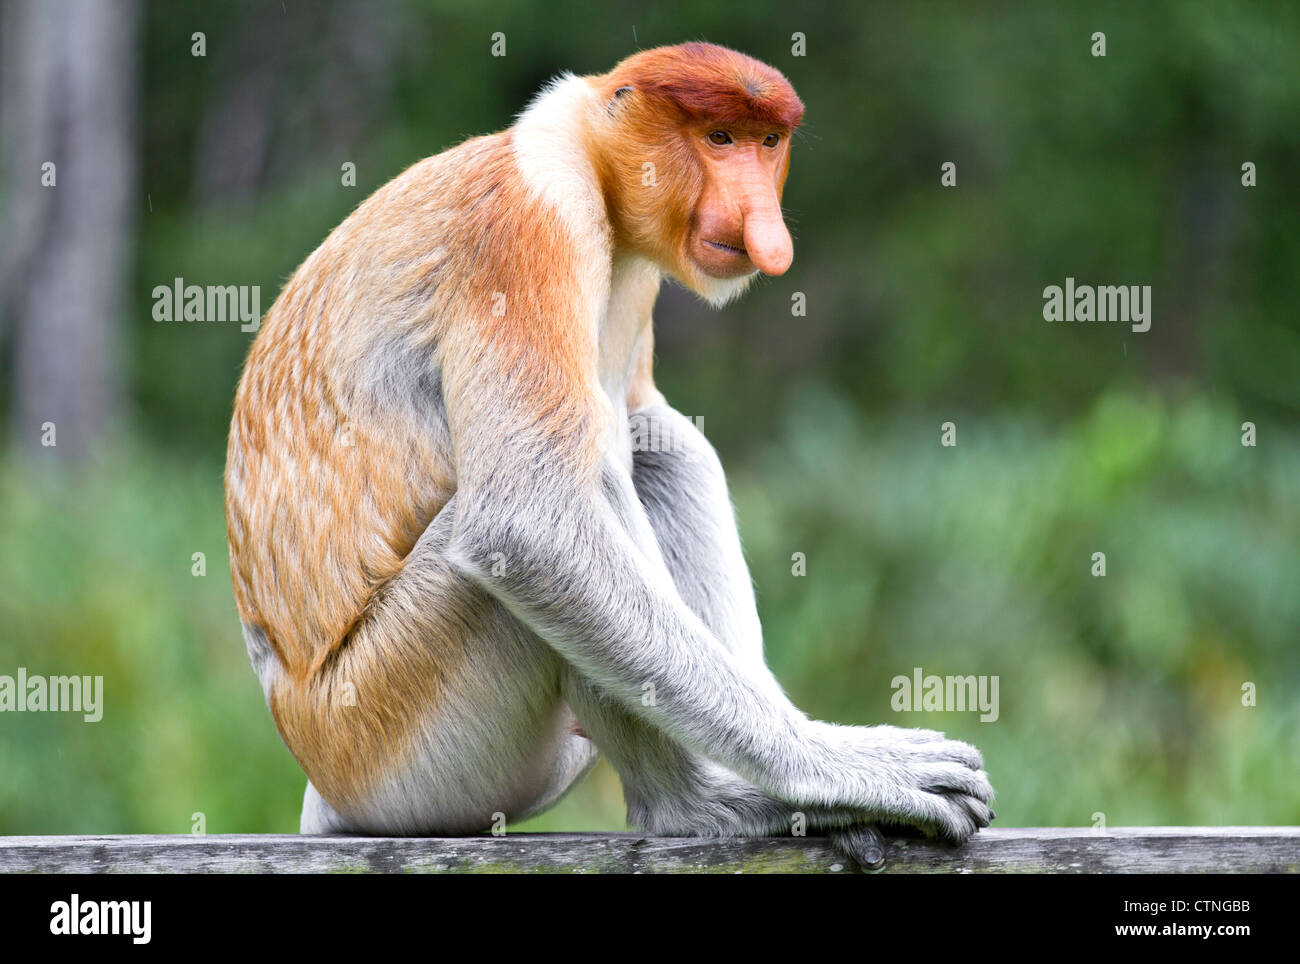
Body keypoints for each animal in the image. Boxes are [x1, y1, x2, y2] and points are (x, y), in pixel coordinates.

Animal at [224, 42, 993, 870]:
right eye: (719, 138)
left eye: (768, 143)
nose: (763, 223)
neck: (591, 165)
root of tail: (319, 774)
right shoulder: (528, 225)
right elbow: (528, 525)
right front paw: (842, 765)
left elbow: (646, 425)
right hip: (388, 737)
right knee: (571, 494)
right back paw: (699, 804)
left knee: (658, 447)